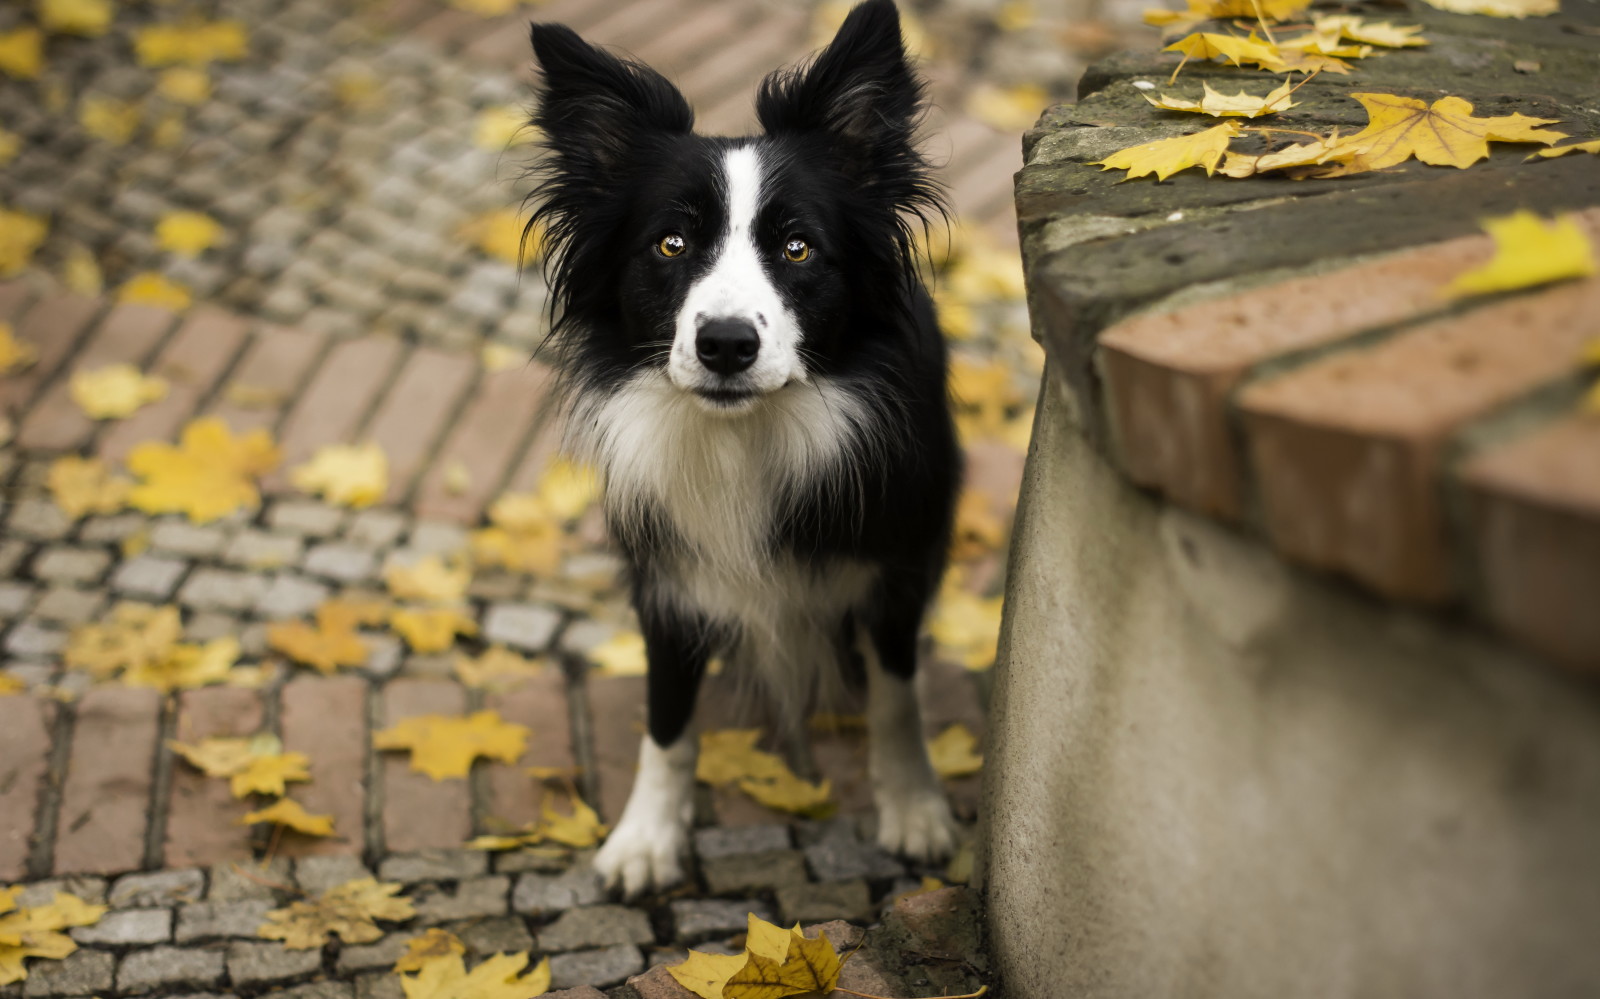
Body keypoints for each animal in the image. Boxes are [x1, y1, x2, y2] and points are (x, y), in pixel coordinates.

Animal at [524, 0, 953, 896]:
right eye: (671, 245)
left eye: (797, 247)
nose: (725, 343)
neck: (743, 436)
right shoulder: (667, 578)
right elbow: (667, 718)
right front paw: (647, 836)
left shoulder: (894, 565)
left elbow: (896, 694)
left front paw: (915, 805)